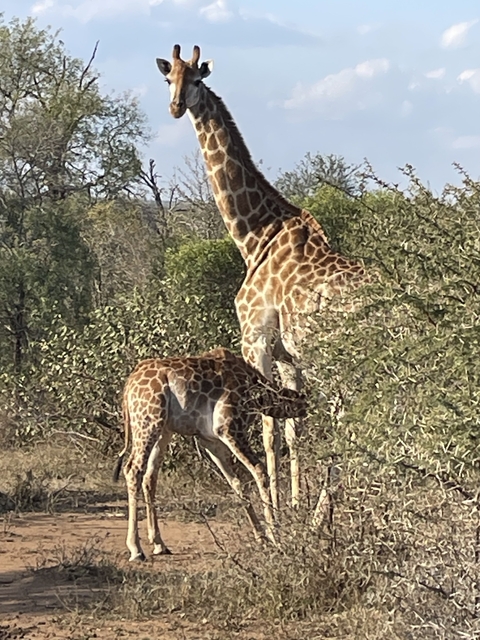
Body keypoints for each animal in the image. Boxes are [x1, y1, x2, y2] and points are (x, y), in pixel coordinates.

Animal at [113, 347, 307, 561]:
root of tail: (129, 386)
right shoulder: (229, 427)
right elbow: (259, 470)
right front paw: (275, 537)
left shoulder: (209, 439)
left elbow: (236, 483)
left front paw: (261, 537)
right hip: (147, 422)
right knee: (133, 469)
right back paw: (136, 549)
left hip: (164, 430)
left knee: (149, 476)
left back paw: (159, 544)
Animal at [156, 44, 367, 512]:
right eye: (168, 78)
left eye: (196, 79)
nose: (176, 107)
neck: (255, 236)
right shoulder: (289, 356)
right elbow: (291, 429)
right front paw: (293, 502)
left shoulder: (255, 338)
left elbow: (269, 427)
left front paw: (278, 508)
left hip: (343, 363)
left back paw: (327, 514)